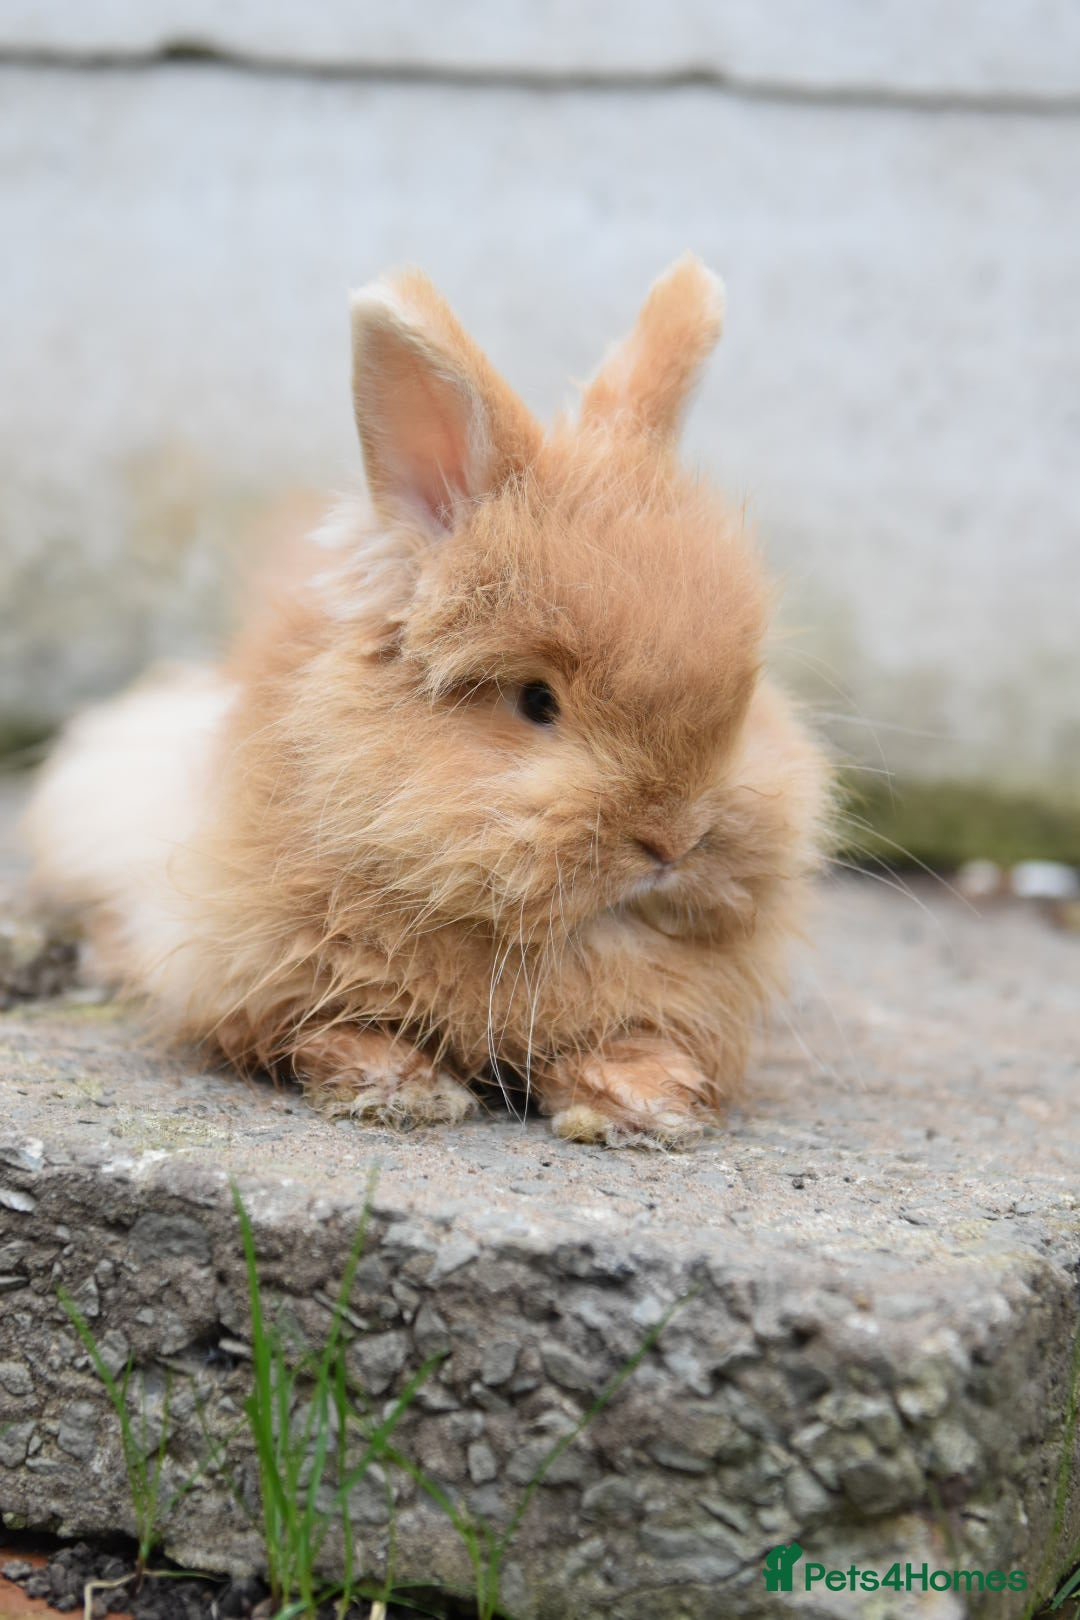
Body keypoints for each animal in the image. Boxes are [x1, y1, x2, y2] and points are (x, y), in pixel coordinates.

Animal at [26, 255, 830, 1147]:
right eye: (537, 702)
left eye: (744, 700)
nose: (673, 841)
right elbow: (328, 1025)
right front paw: (400, 1091)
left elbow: (632, 1037)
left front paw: (643, 1105)